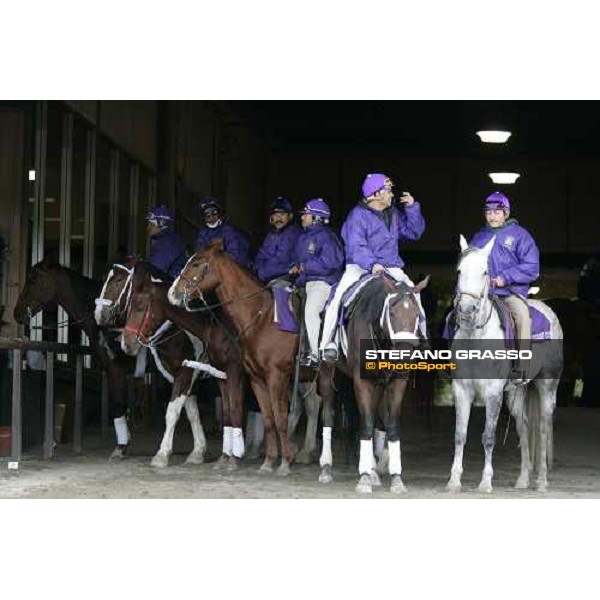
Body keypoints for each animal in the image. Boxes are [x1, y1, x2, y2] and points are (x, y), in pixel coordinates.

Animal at [119, 262, 246, 468]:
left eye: (139, 305)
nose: (126, 344)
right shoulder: (182, 375)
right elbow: (191, 411)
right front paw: (198, 451)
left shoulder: (188, 372)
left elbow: (172, 411)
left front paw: (162, 454)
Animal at [166, 239, 298, 474]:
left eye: (196, 263)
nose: (172, 293)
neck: (262, 320)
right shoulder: (255, 378)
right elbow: (268, 418)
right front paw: (268, 462)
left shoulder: (276, 376)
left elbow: (280, 417)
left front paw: (284, 463)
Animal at [450, 236, 564, 492]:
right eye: (459, 270)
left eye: (485, 272)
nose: (467, 310)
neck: (476, 337)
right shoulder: (461, 389)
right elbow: (460, 435)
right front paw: (453, 481)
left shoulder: (493, 392)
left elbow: (488, 436)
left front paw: (485, 482)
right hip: (515, 392)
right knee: (523, 427)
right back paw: (522, 480)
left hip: (547, 386)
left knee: (543, 428)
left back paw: (542, 481)